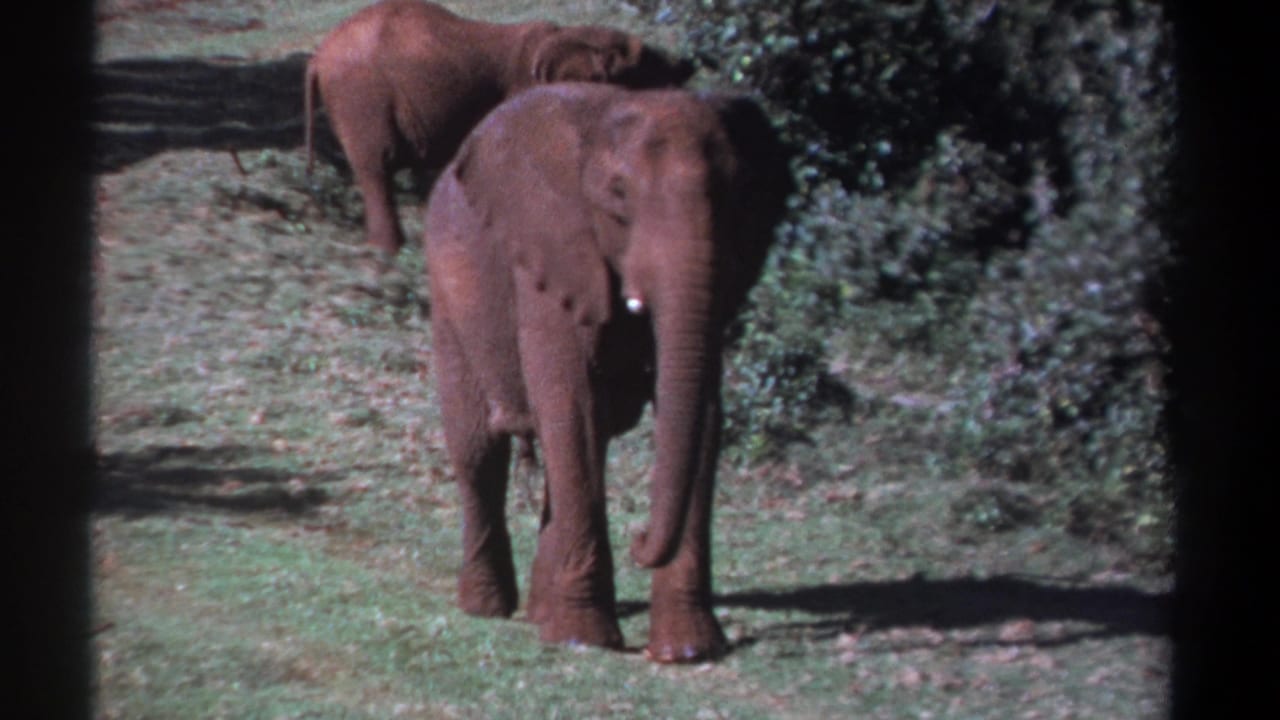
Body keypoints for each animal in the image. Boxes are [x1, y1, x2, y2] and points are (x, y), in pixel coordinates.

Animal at [422, 83, 793, 663]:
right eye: (619, 196)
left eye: (736, 194)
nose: (640, 538)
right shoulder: (552, 257)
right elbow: (572, 406)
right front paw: (584, 639)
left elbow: (704, 416)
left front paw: (689, 651)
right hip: (448, 298)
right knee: (480, 452)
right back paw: (489, 609)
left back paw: (541, 614)